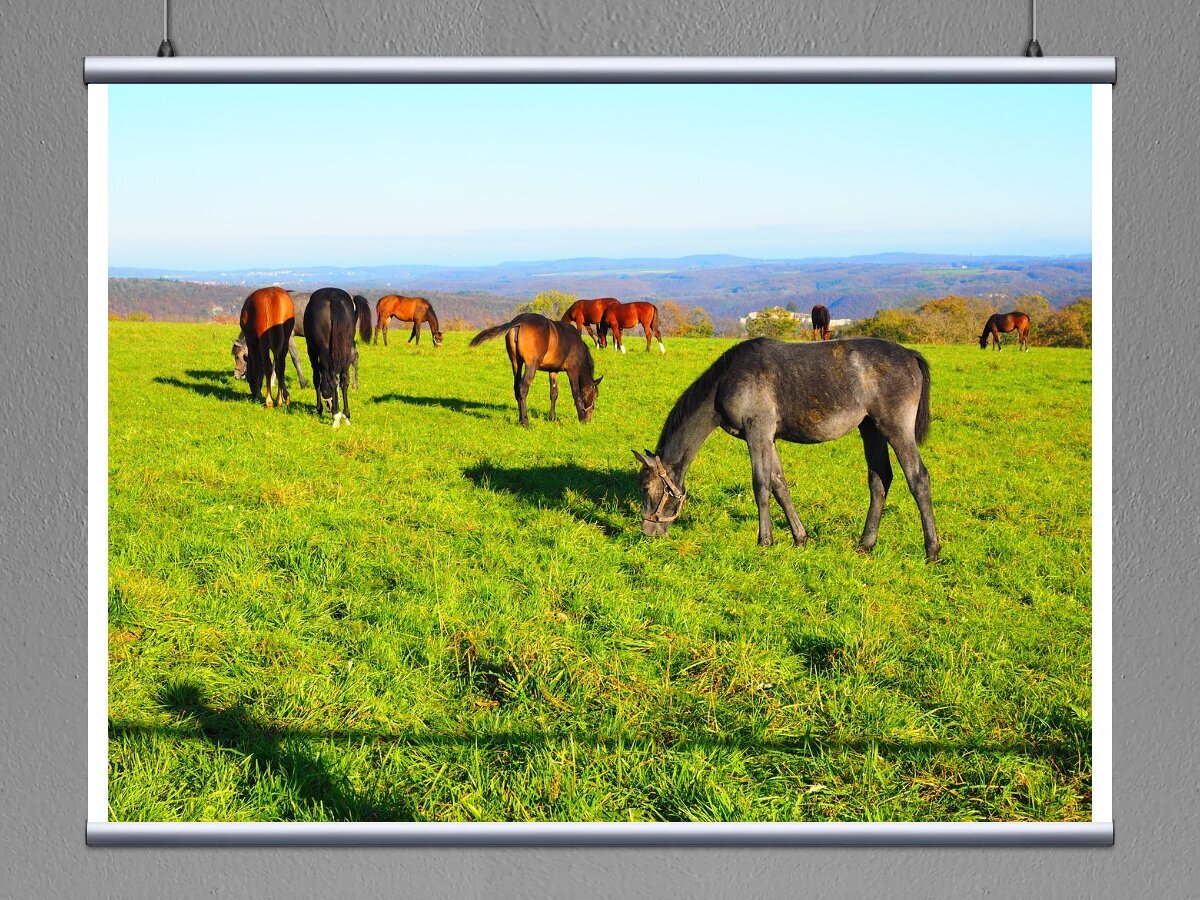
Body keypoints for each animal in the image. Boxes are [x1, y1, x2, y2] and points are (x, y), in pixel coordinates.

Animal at [465, 314, 600, 427]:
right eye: (595, 395)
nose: (589, 419)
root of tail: (518, 321)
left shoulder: (553, 371)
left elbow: (554, 393)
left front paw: (552, 418)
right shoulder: (572, 370)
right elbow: (576, 393)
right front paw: (581, 418)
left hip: (516, 363)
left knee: (516, 388)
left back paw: (520, 420)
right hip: (531, 365)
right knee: (523, 389)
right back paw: (525, 422)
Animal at [633, 338, 940, 564]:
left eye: (646, 488)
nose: (648, 532)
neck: (727, 380)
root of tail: (910, 355)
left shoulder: (758, 434)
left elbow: (761, 487)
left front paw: (764, 541)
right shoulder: (768, 439)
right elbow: (780, 487)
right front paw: (799, 538)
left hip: (896, 429)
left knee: (918, 479)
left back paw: (932, 550)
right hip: (871, 430)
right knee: (879, 480)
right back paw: (866, 544)